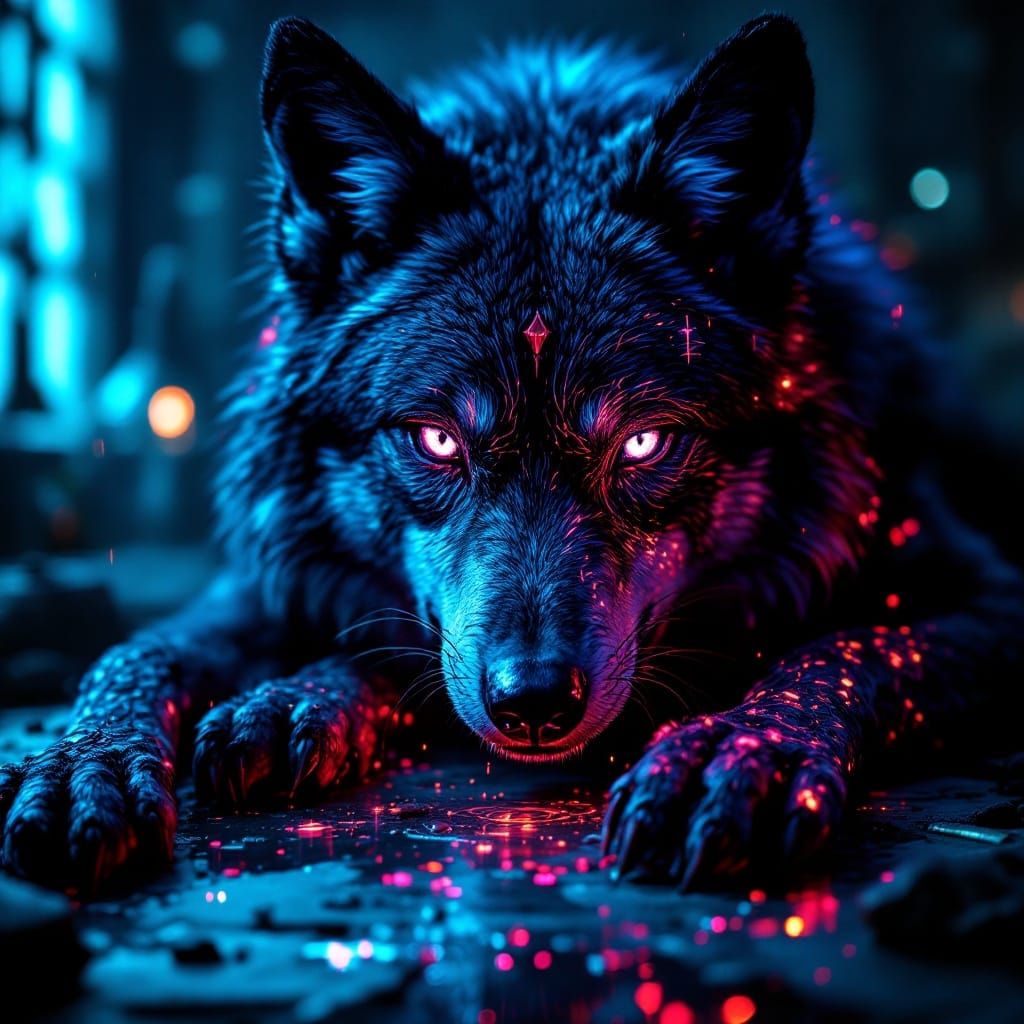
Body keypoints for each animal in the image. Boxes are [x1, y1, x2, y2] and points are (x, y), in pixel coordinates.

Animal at [2, 13, 1021, 890]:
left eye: (643, 442)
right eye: (437, 439)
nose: (533, 701)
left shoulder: (984, 591)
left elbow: (844, 650)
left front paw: (737, 754)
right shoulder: (260, 582)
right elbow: (140, 653)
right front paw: (87, 765)